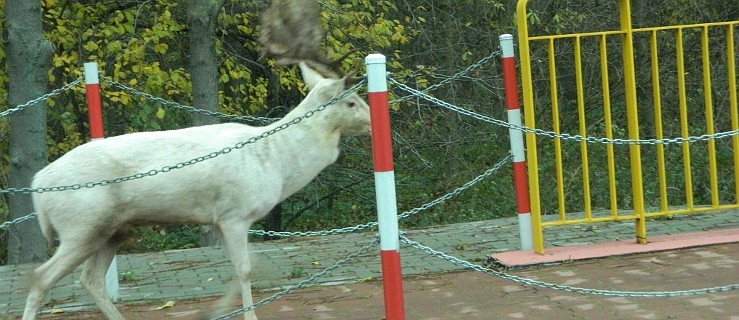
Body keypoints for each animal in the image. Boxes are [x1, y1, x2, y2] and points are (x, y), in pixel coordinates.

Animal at [21, 60, 370, 320]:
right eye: (352, 101)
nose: (372, 121)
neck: (277, 163)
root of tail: (37, 186)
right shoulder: (234, 214)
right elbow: (245, 269)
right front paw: (248, 315)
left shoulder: (221, 220)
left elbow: (248, 266)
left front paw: (216, 310)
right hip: (80, 226)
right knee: (41, 277)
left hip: (111, 230)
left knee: (90, 279)